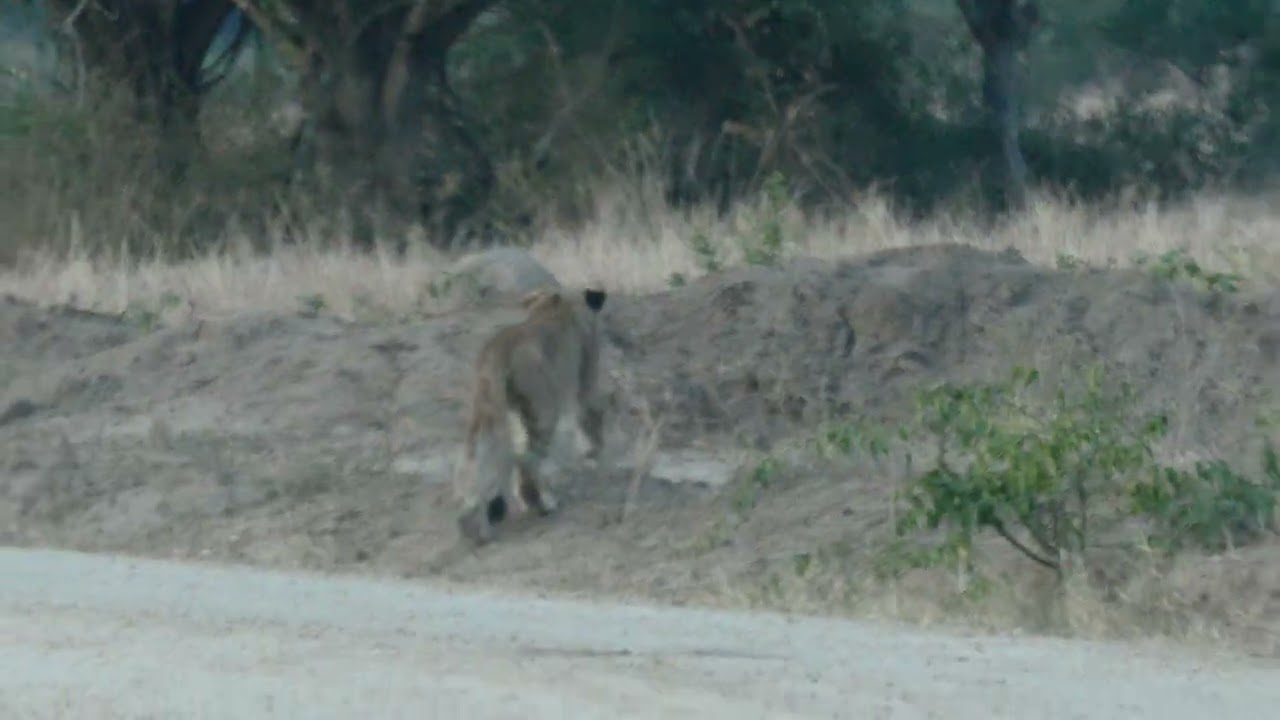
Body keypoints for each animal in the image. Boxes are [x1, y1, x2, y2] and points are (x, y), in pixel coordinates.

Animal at [453, 285, 609, 545]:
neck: (549, 306)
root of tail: (497, 348)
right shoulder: (586, 377)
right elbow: (591, 415)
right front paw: (593, 454)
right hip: (544, 408)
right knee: (526, 457)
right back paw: (542, 502)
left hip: (487, 410)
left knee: (477, 460)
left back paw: (474, 526)